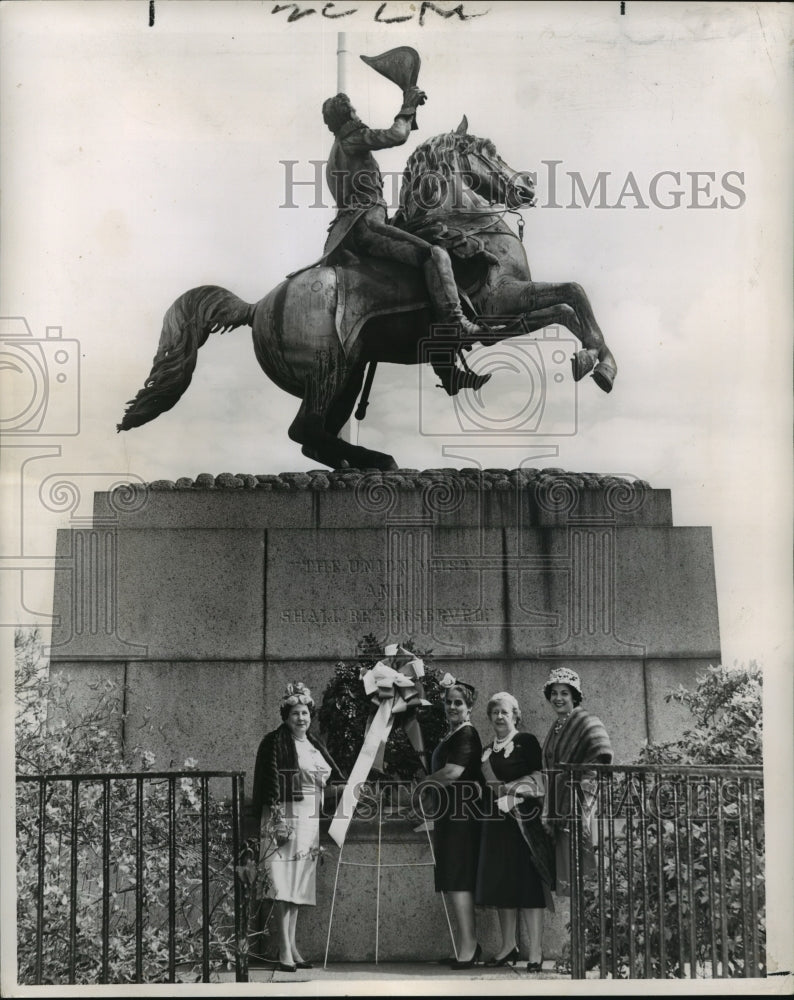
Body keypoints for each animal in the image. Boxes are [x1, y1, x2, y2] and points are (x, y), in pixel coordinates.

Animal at [117, 118, 616, 472]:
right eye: (489, 152)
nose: (527, 187)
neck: (466, 225)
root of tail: (258, 306)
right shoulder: (499, 305)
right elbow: (567, 301)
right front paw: (592, 360)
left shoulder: (512, 302)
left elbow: (572, 298)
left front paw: (601, 363)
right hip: (329, 369)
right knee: (306, 431)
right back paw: (374, 460)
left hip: (351, 372)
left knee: (314, 438)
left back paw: (364, 462)